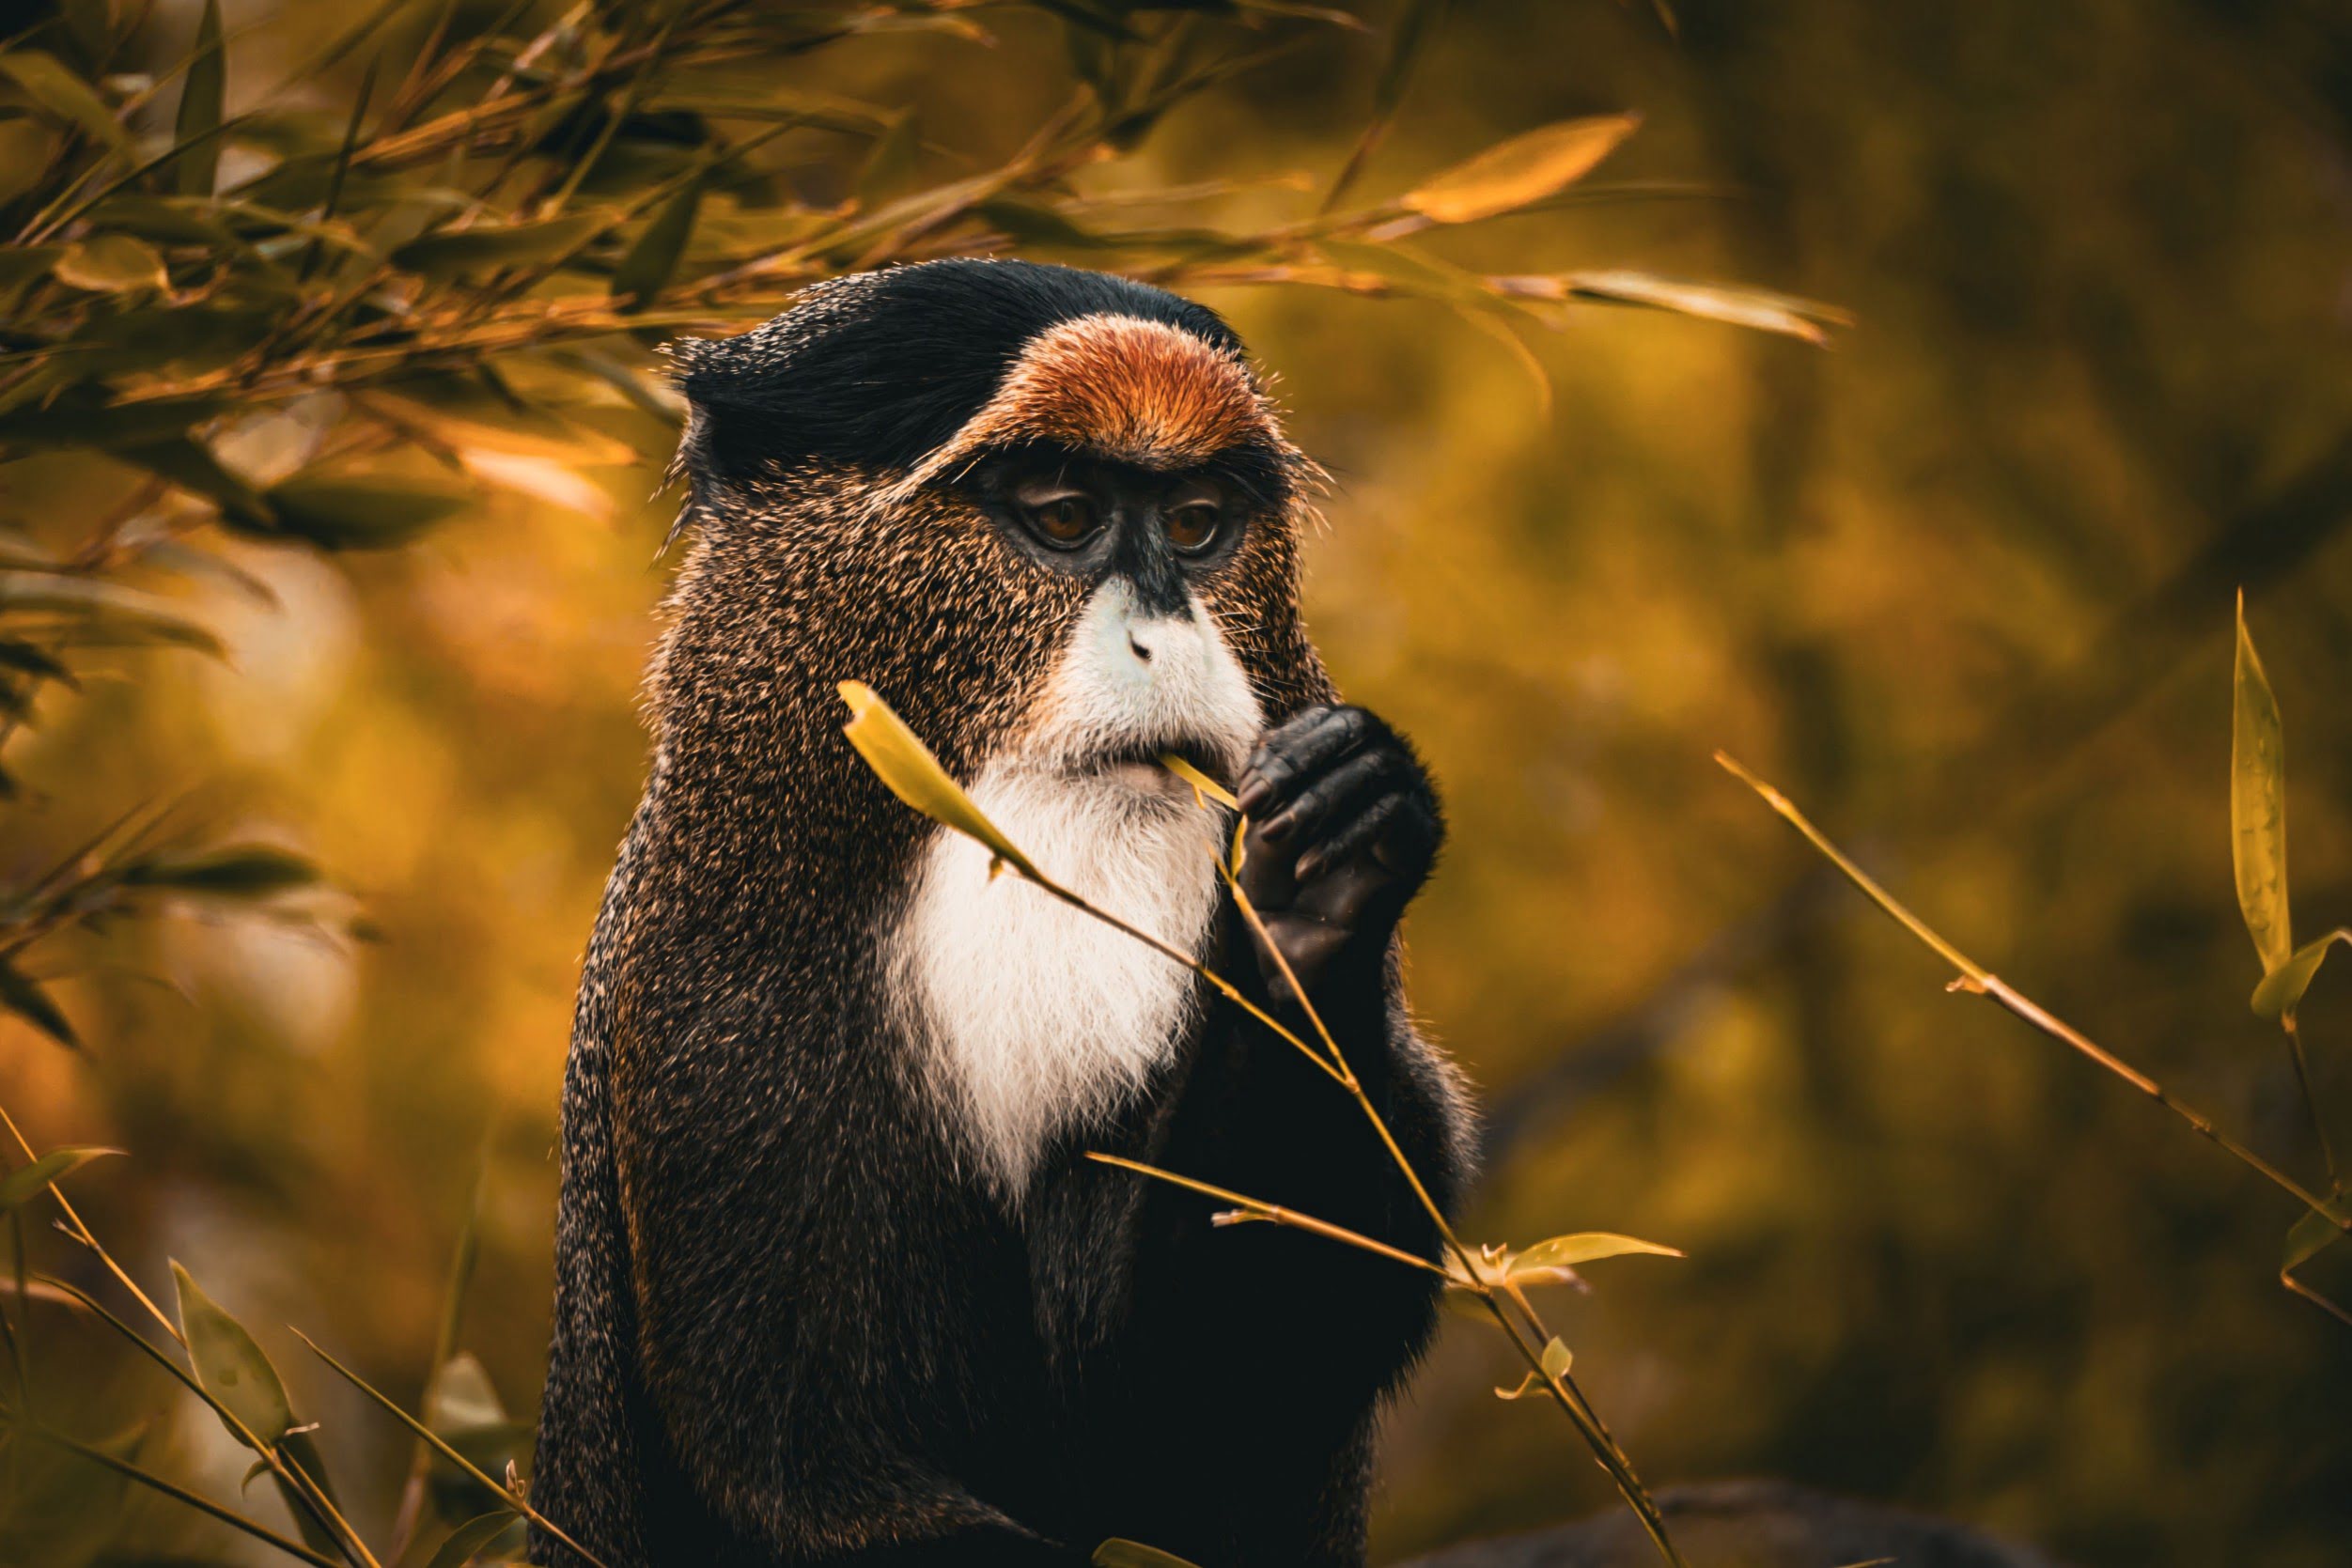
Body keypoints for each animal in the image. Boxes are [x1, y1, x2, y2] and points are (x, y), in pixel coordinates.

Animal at [530, 258, 1474, 1568]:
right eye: (1066, 517)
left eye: (1195, 526)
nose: (1166, 638)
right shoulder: (709, 1020)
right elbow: (811, 1480)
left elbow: (1181, 1416)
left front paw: (1315, 901)